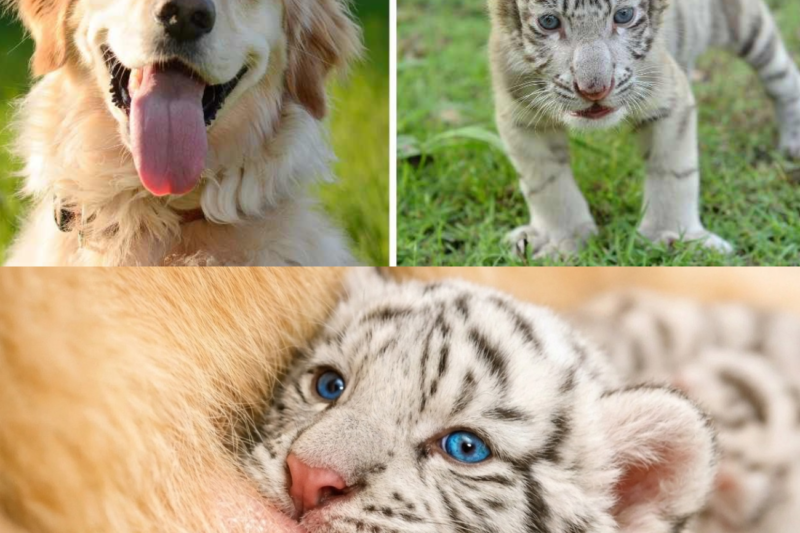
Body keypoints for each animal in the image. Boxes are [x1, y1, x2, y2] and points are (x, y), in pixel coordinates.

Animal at [489, 0, 800, 258]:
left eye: (624, 16)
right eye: (549, 22)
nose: (594, 90)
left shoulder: (671, 99)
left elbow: (673, 174)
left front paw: (672, 234)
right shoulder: (520, 117)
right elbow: (546, 183)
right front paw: (561, 241)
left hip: (746, 24)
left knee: (780, 75)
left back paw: (793, 143)